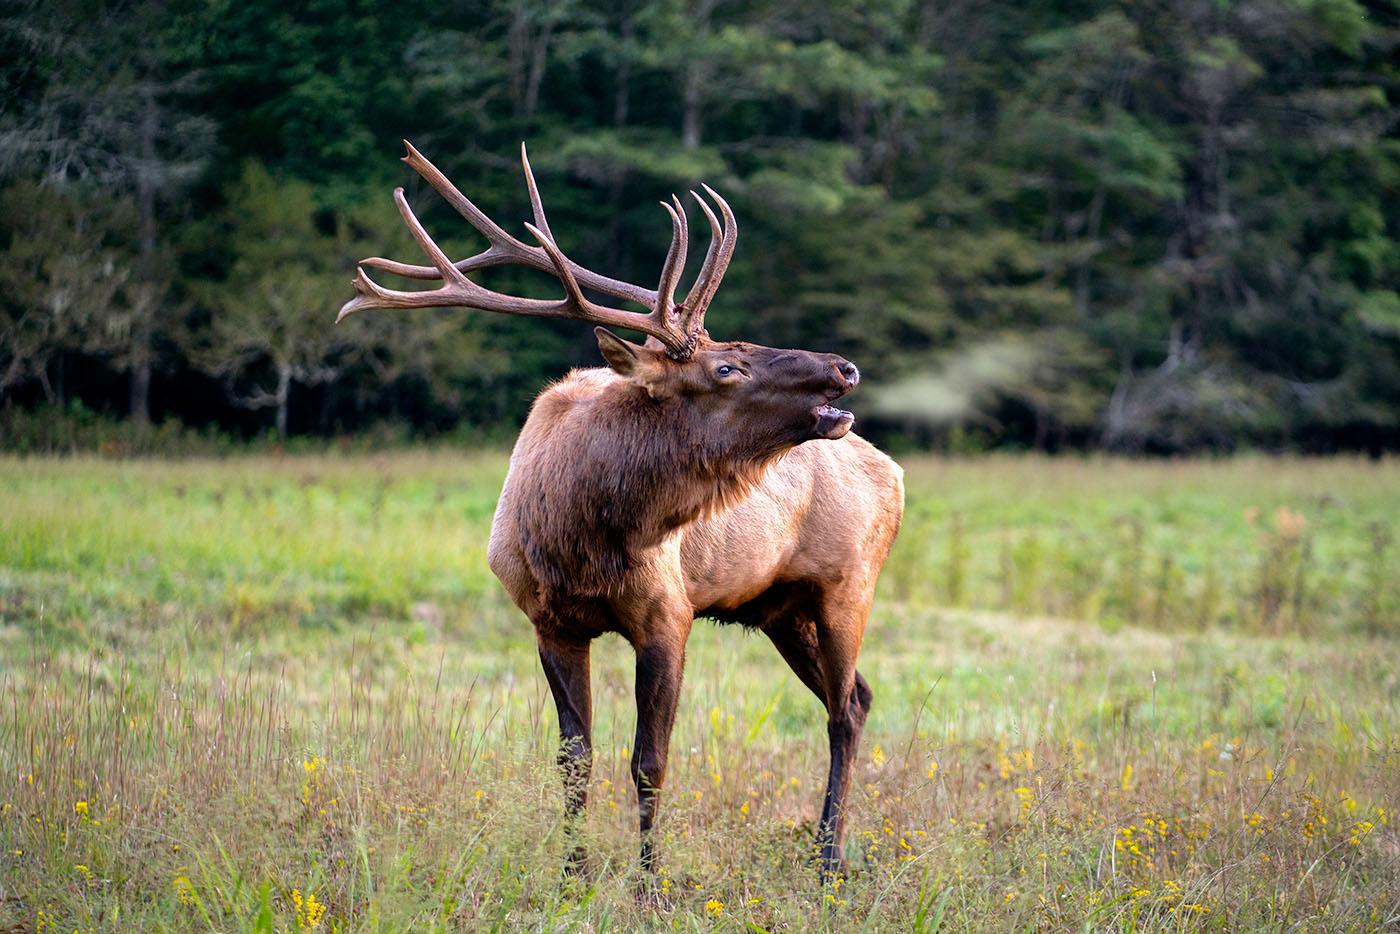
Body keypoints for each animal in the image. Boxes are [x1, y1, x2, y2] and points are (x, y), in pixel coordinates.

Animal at [336, 141, 904, 889]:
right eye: (727, 366)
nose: (845, 368)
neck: (581, 534)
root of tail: (895, 473)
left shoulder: (668, 610)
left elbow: (650, 763)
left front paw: (650, 888)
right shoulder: (548, 622)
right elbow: (575, 759)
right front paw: (571, 880)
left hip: (849, 584)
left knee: (843, 710)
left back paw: (830, 862)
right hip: (781, 609)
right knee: (857, 699)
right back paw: (824, 851)